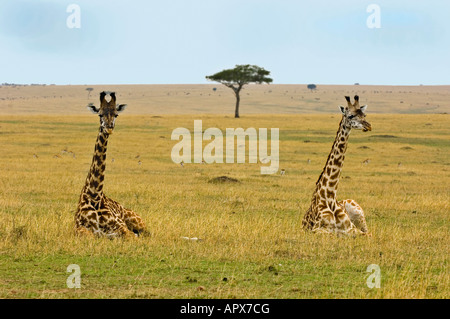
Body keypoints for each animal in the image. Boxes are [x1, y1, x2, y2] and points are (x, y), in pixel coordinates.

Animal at [74, 91, 149, 239]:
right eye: (100, 114)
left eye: (116, 114)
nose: (109, 127)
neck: (94, 196)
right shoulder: (78, 228)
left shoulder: (121, 228)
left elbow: (131, 236)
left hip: (138, 221)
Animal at [302, 96, 372, 236]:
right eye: (350, 116)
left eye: (364, 115)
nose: (368, 125)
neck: (330, 198)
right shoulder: (316, 230)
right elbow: (333, 233)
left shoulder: (352, 229)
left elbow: (368, 235)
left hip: (359, 213)